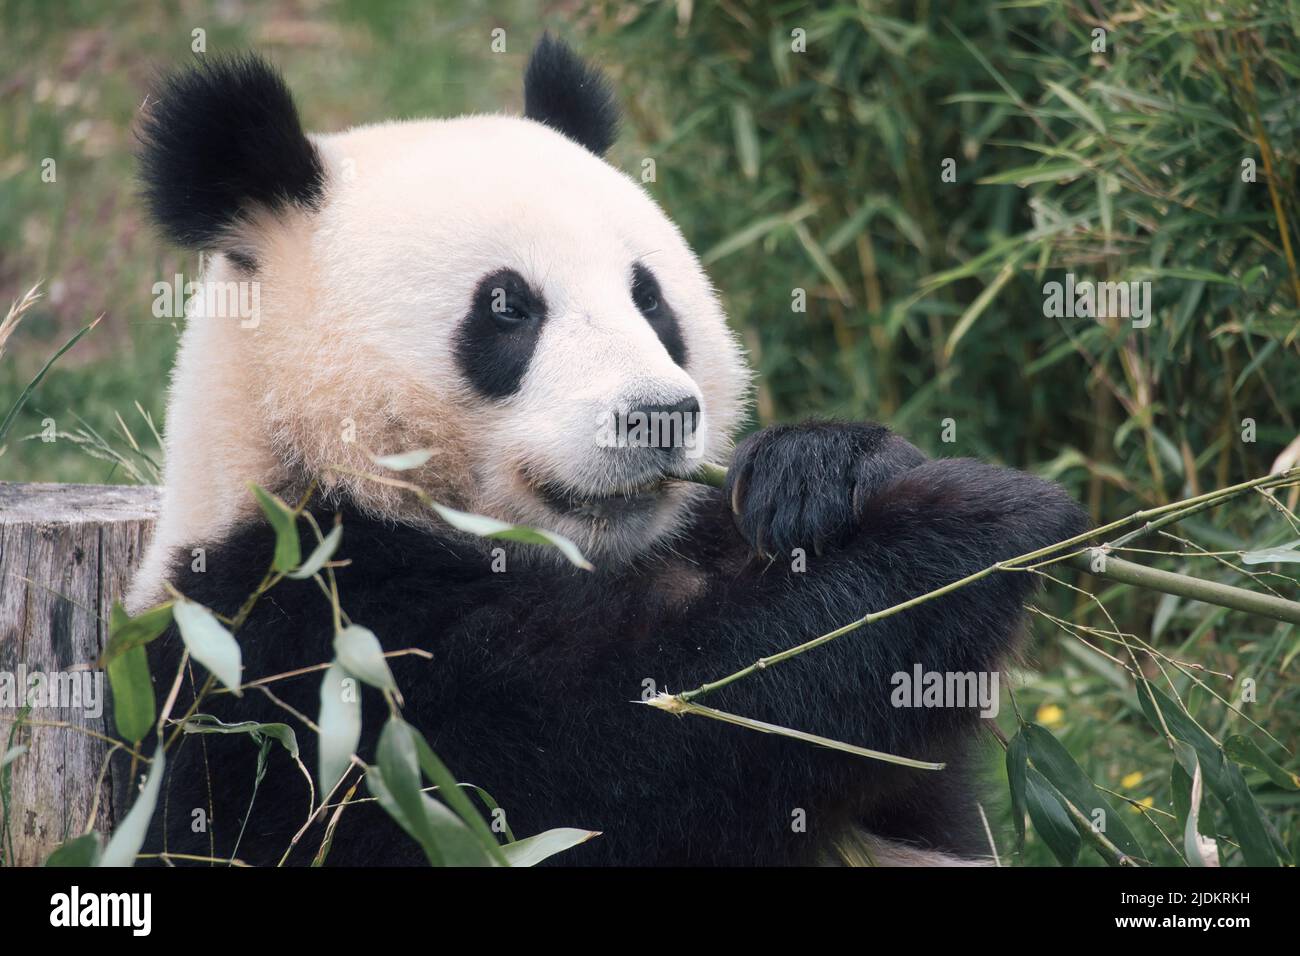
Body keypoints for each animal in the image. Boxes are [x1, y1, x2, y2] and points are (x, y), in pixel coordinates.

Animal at [129, 37, 1086, 868]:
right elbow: (629, 752)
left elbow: (915, 785)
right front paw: (975, 528)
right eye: (507, 308)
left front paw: (819, 472)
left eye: (648, 296)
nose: (658, 416)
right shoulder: (307, 645)